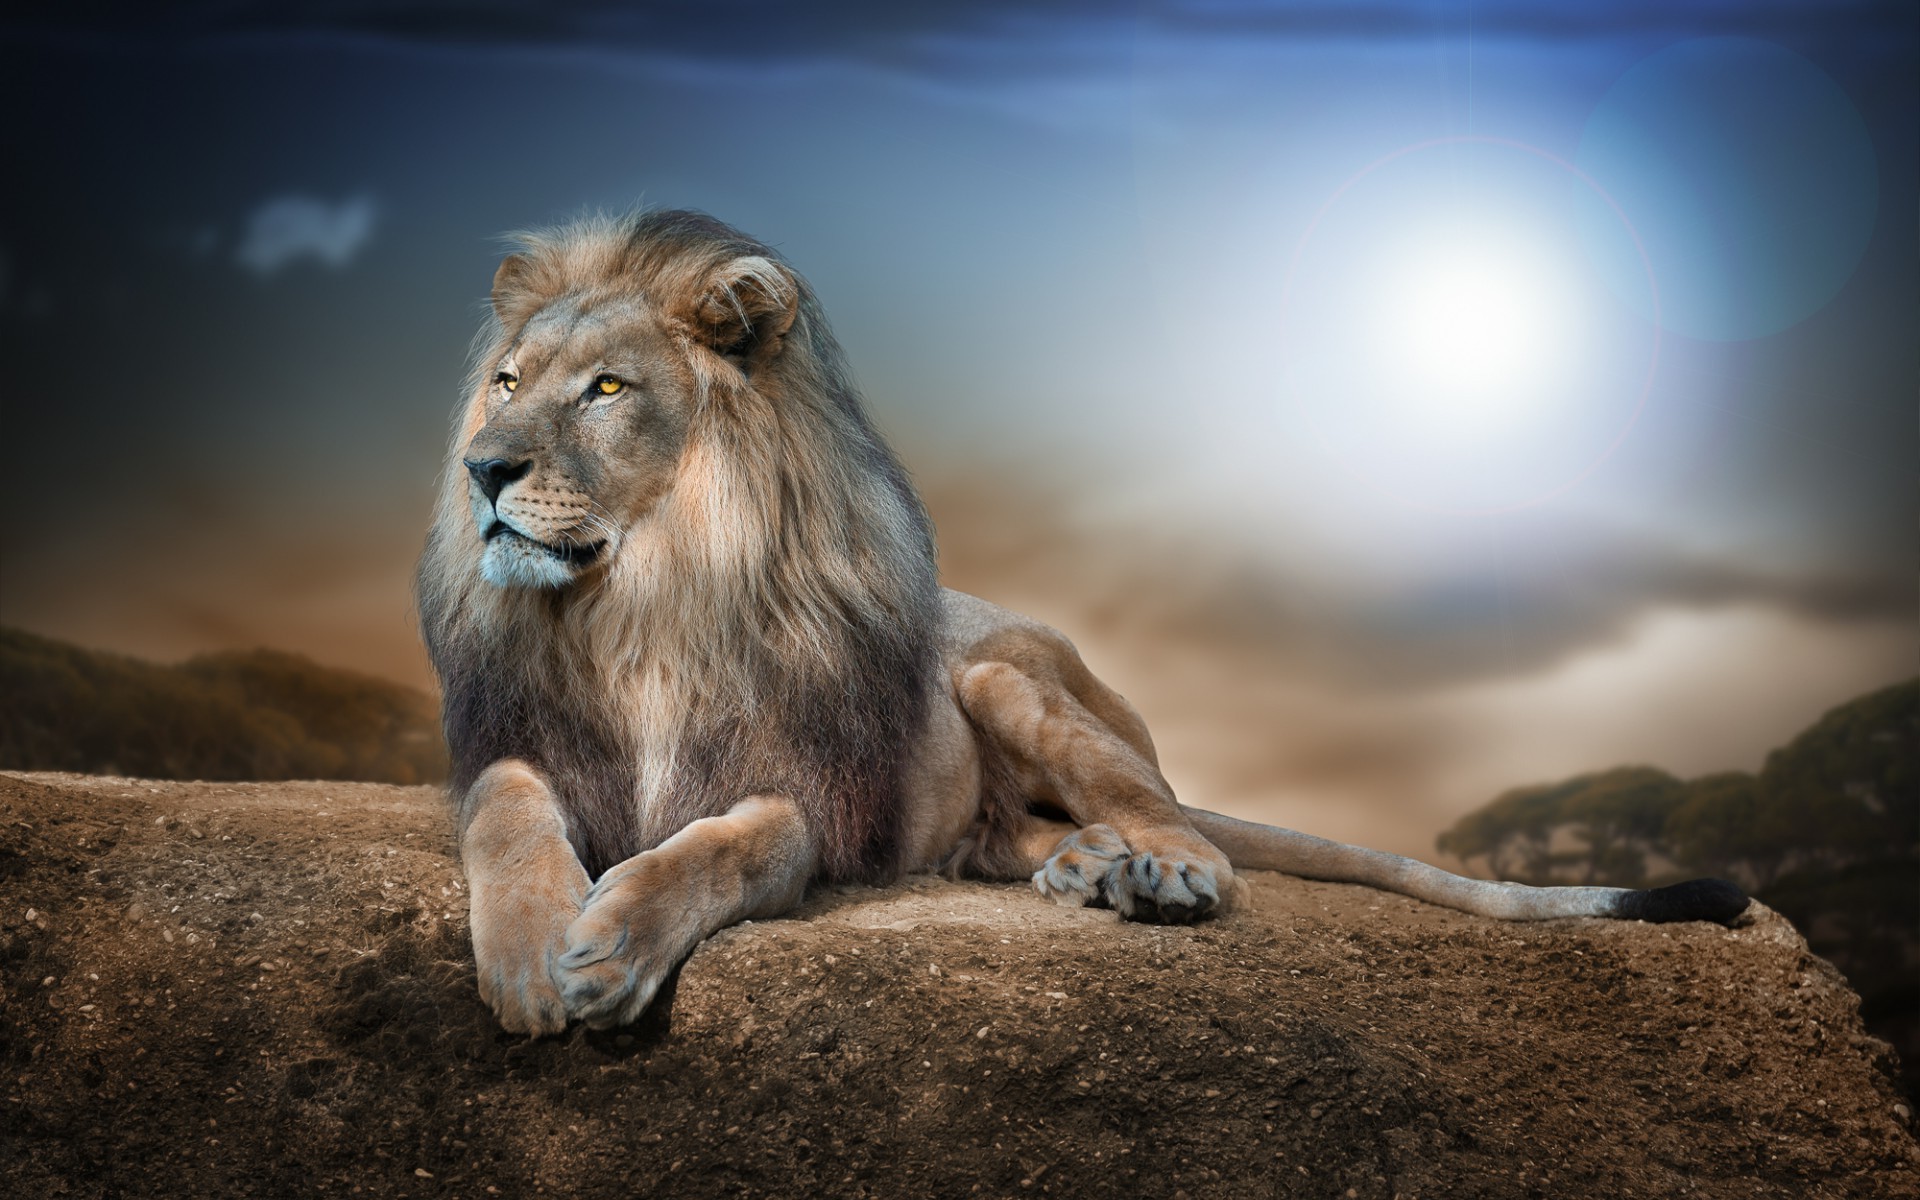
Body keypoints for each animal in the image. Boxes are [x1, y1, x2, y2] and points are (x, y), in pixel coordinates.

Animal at [417, 210, 1750, 1035]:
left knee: (1182, 822)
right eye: (504, 383)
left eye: (606, 389)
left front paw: (610, 944)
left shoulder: (803, 794)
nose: (483, 469)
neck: (640, 603)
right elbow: (507, 815)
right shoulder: (520, 747)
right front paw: (535, 952)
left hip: (1006, 680)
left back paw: (1156, 872)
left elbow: (716, 849)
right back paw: (1086, 868)